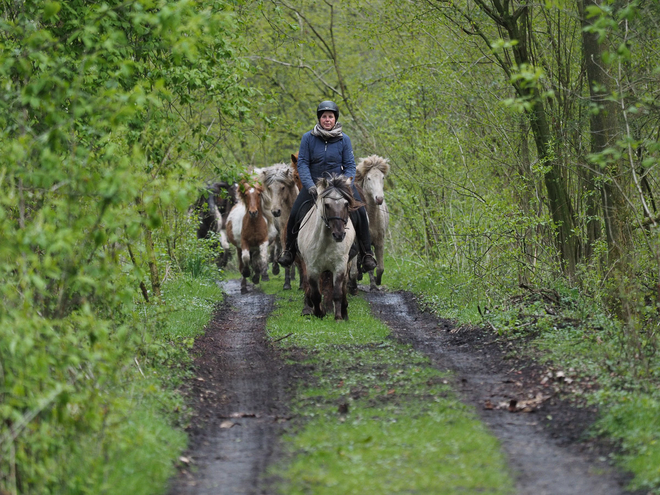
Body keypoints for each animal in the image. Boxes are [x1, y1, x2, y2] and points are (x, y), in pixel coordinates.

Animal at [300, 174, 360, 322]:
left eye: (346, 204)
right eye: (327, 205)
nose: (339, 235)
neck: (325, 242)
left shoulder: (339, 266)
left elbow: (338, 292)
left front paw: (338, 317)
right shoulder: (312, 268)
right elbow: (315, 294)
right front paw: (319, 312)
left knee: (344, 287)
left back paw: (344, 311)